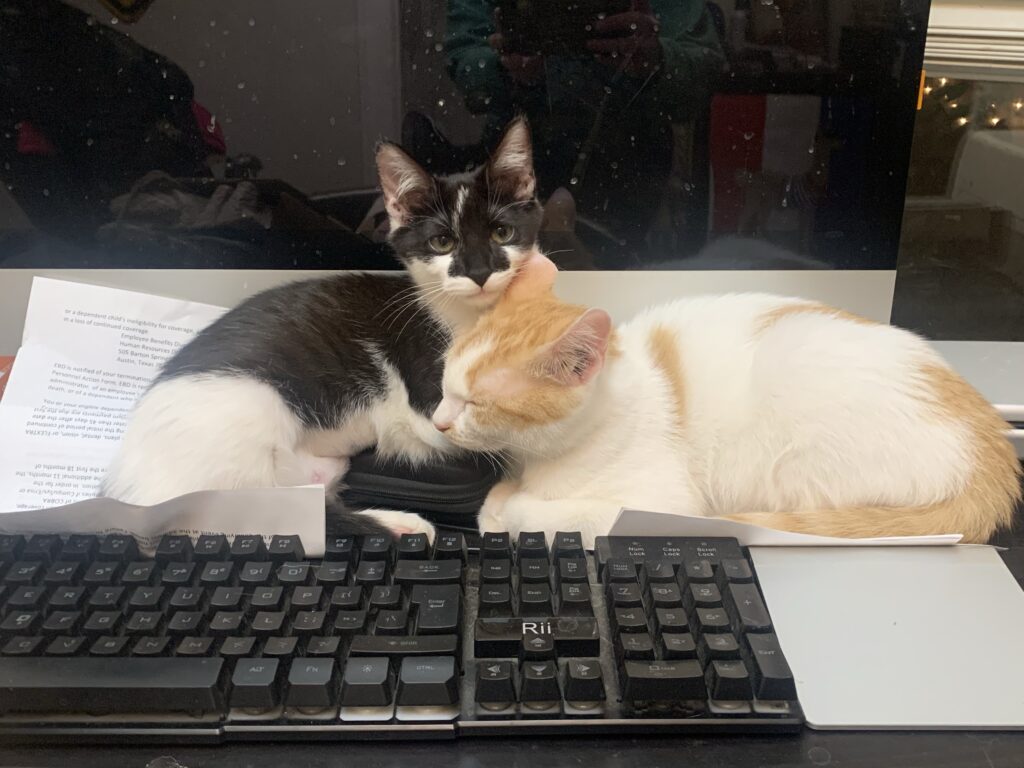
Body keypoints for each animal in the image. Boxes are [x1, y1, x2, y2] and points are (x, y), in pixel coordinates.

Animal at [432, 254, 1021, 547]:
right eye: (442, 383)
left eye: (476, 403)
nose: (437, 422)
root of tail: (992, 448)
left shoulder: (657, 504)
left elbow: (545, 513)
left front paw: (506, 505)